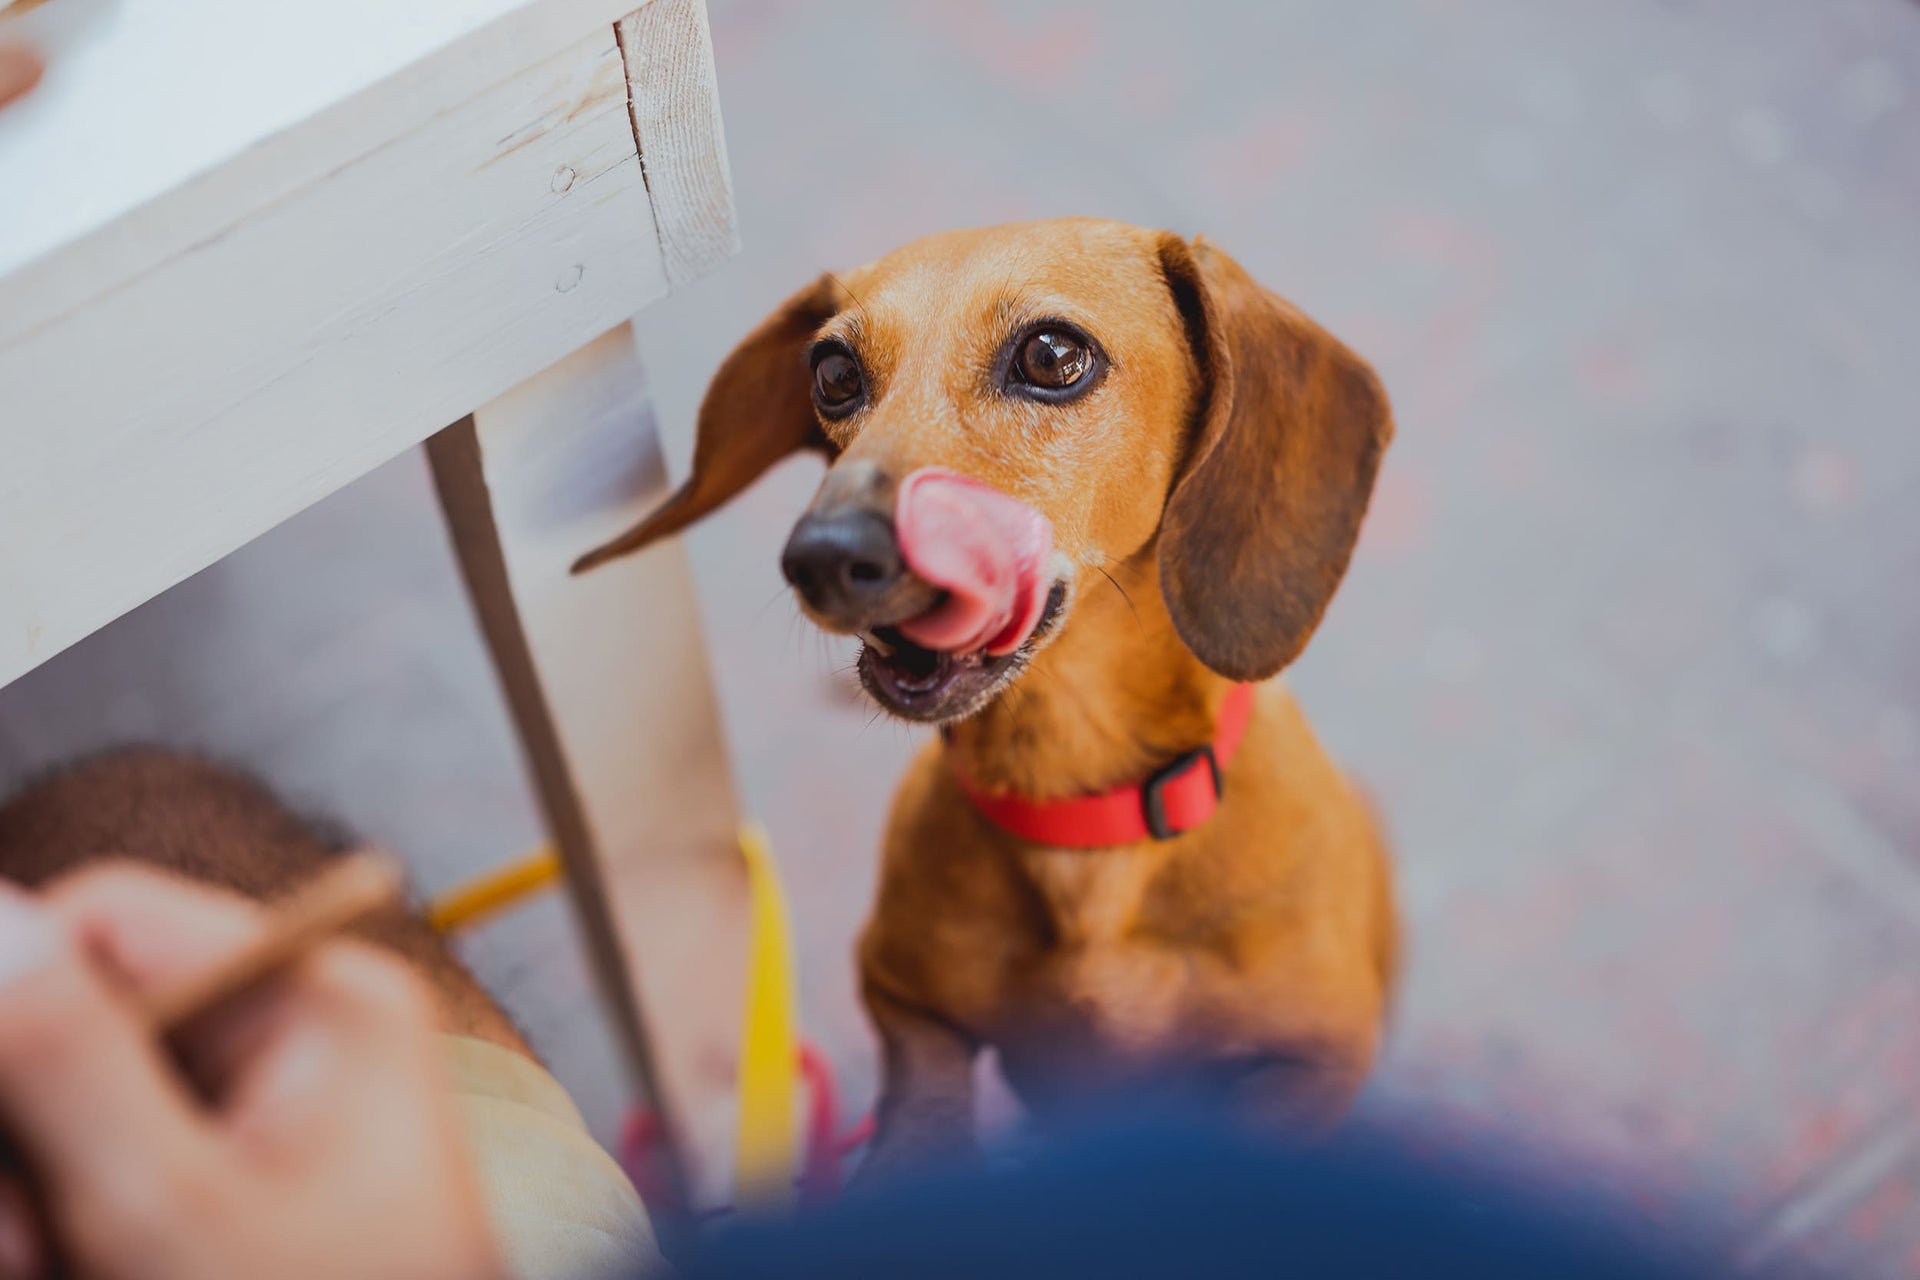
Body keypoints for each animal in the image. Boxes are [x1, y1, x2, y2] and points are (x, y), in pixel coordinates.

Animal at [576, 217, 1405, 1174]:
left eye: (1052, 355)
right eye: (834, 372)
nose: (821, 555)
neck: (1079, 819)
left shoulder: (1316, 1060)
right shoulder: (902, 998)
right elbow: (925, 1110)